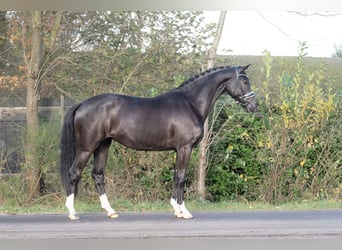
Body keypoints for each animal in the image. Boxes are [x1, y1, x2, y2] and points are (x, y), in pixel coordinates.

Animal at [59, 64, 256, 219]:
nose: (254, 107)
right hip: (87, 147)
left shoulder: (179, 150)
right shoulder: (185, 148)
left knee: (98, 175)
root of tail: (82, 104)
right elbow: (181, 177)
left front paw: (177, 210)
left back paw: (110, 211)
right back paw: (72, 212)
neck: (191, 103)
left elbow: (176, 175)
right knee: (74, 173)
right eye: (244, 81)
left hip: (103, 145)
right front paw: (183, 211)